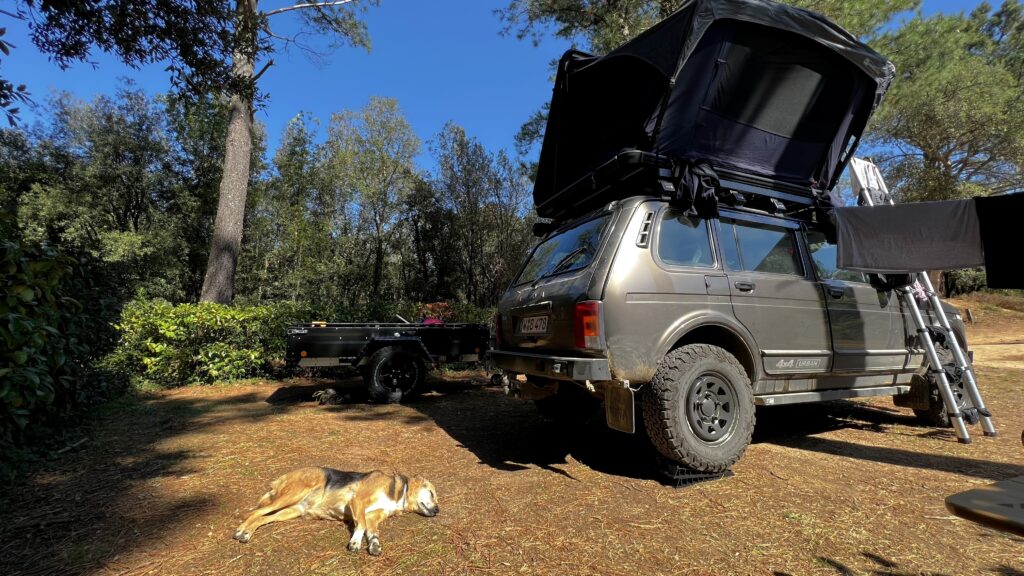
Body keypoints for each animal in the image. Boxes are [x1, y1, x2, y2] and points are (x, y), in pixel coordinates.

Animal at [234, 467, 438, 557]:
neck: (399, 492)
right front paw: (355, 542)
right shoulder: (357, 501)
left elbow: (372, 532)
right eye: (432, 493)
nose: (437, 510)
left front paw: (374, 545)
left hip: (292, 510)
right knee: (254, 513)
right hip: (291, 495)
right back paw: (241, 530)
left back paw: (247, 532)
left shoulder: (373, 517)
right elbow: (360, 525)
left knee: (261, 518)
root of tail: (285, 475)